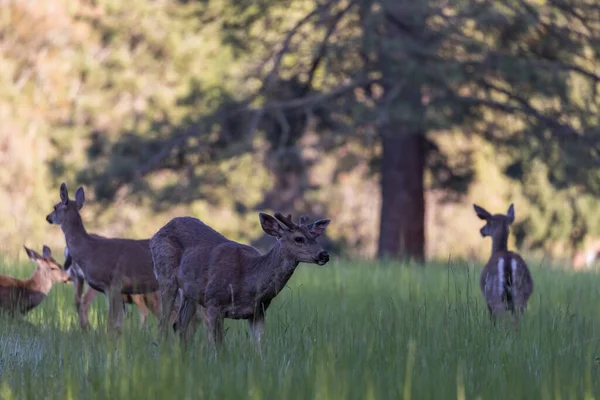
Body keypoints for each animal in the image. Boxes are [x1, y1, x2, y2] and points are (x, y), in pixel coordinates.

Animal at [46, 183, 159, 332]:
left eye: (55, 207)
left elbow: (112, 322)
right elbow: (118, 322)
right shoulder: (109, 289)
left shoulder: (113, 284)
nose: (47, 217)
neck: (90, 250)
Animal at [148, 211, 330, 346]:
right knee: (162, 324)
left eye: (315, 237)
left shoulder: (258, 311)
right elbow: (218, 347)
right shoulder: (214, 303)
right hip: (166, 277)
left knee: (179, 325)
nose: (324, 255)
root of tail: (157, 233)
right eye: (298, 238)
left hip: (190, 293)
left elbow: (259, 347)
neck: (248, 282)